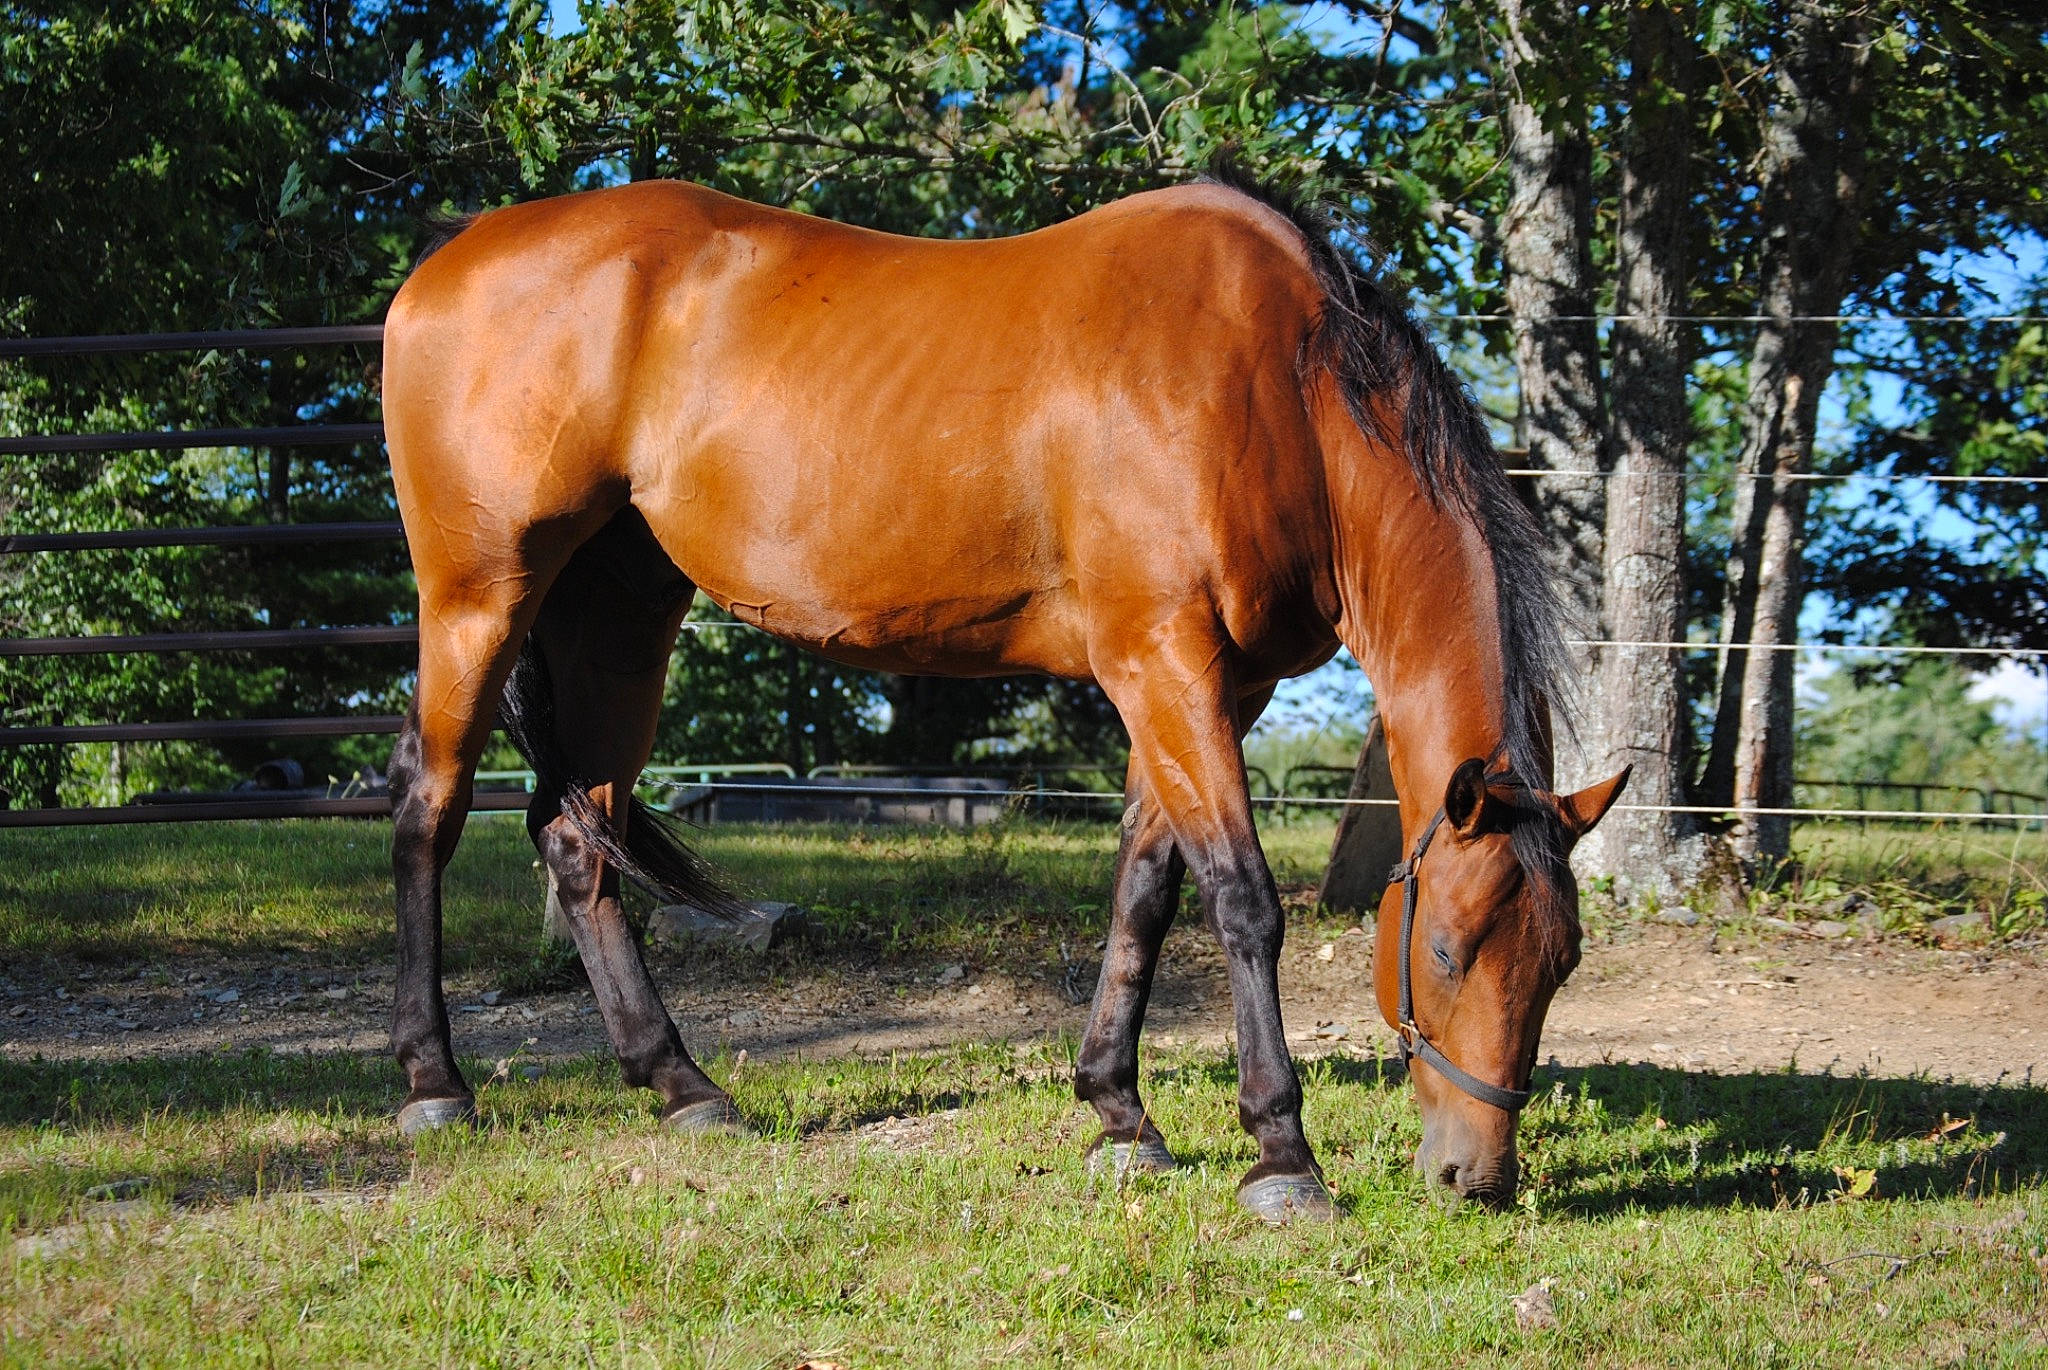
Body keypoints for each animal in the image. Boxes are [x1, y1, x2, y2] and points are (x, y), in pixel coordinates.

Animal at [380, 165, 1629, 1220]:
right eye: (1445, 951)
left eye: (1561, 960)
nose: (1476, 1174)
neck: (1280, 385)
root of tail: (453, 253)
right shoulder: (1161, 661)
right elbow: (1239, 897)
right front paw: (1280, 1153)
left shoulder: (1209, 685)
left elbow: (1144, 890)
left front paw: (1119, 1113)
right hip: (479, 596)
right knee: (427, 809)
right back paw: (434, 1082)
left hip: (618, 612)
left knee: (576, 837)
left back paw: (682, 1083)